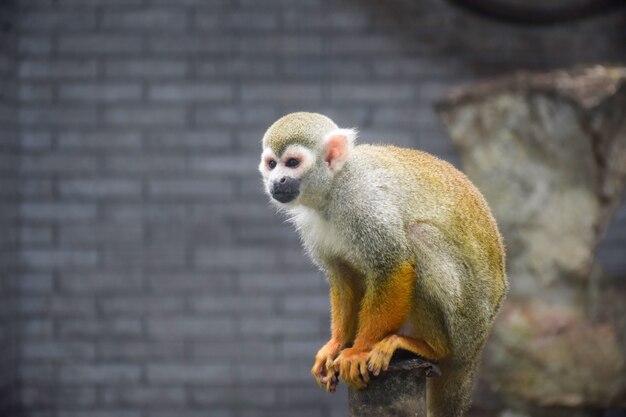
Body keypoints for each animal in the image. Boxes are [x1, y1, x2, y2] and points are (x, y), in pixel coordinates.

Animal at [256, 111, 504, 416]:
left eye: (292, 162)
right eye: (271, 164)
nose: (277, 180)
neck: (334, 187)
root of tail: (478, 345)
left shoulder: (363, 202)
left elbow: (392, 264)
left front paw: (358, 351)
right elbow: (343, 277)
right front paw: (337, 344)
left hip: (466, 321)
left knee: (419, 236)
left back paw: (430, 348)